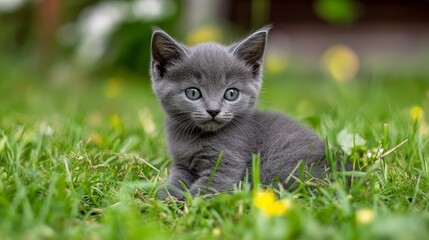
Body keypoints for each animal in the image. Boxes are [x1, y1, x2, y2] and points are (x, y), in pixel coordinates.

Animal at [150, 27, 328, 200]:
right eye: (193, 93)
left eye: (231, 93)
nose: (213, 110)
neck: (197, 137)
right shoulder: (181, 163)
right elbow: (176, 179)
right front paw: (166, 195)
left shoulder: (228, 163)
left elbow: (208, 187)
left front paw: (190, 203)